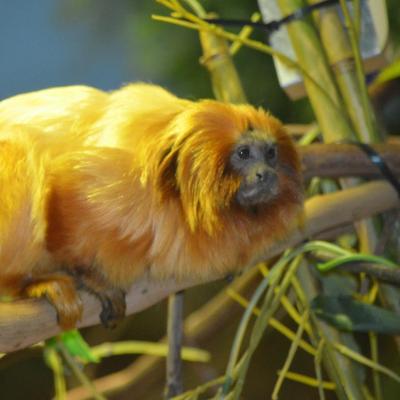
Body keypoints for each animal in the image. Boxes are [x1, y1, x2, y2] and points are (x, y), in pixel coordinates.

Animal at [0, 83, 302, 328]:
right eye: (243, 153)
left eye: (271, 154)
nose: (265, 174)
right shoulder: (120, 184)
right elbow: (64, 182)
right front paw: (91, 279)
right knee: (22, 148)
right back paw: (29, 283)